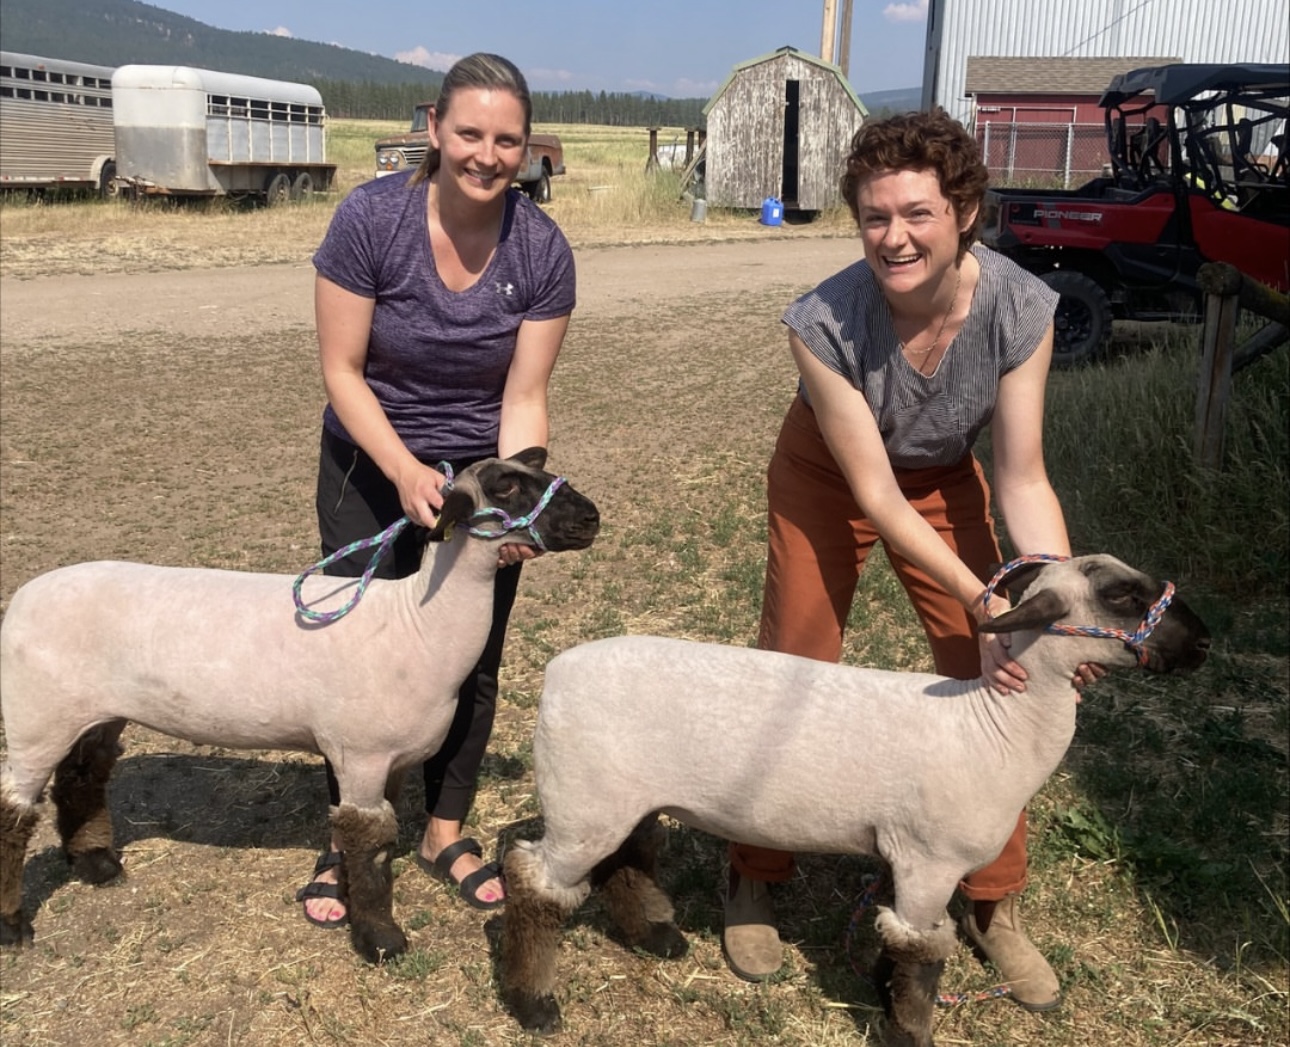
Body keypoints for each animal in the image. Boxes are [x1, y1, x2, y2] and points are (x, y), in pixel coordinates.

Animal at [0, 448, 599, 965]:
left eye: (534, 469)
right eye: (507, 487)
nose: (592, 517)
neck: (418, 625)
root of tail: (22, 598)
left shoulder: (392, 760)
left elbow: (373, 844)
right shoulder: (361, 754)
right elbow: (367, 847)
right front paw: (380, 938)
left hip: (92, 712)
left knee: (82, 776)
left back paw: (96, 864)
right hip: (35, 718)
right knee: (14, 809)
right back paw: (13, 925)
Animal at [500, 554, 1211, 1046]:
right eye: (1122, 596)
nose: (1203, 641)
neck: (992, 727)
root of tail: (556, 671)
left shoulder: (904, 861)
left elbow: (899, 944)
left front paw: (884, 996)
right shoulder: (931, 861)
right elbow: (923, 956)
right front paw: (911, 1032)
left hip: (622, 800)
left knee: (624, 859)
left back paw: (655, 937)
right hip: (583, 805)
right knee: (534, 884)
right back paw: (536, 1005)